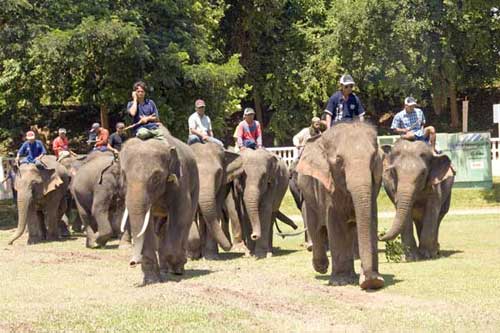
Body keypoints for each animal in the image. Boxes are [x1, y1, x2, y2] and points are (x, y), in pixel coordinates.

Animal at [119, 124, 199, 282]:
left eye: (156, 177)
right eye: (124, 175)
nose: (132, 262)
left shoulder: (180, 181)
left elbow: (180, 213)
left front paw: (174, 264)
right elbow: (147, 224)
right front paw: (152, 279)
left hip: (195, 184)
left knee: (186, 220)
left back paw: (177, 268)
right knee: (160, 226)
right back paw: (164, 268)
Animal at [294, 121, 384, 288]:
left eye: (374, 158)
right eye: (339, 161)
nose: (370, 281)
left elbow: (371, 220)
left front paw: (374, 279)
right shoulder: (327, 184)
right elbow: (336, 223)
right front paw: (341, 281)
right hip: (308, 194)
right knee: (315, 226)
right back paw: (321, 267)